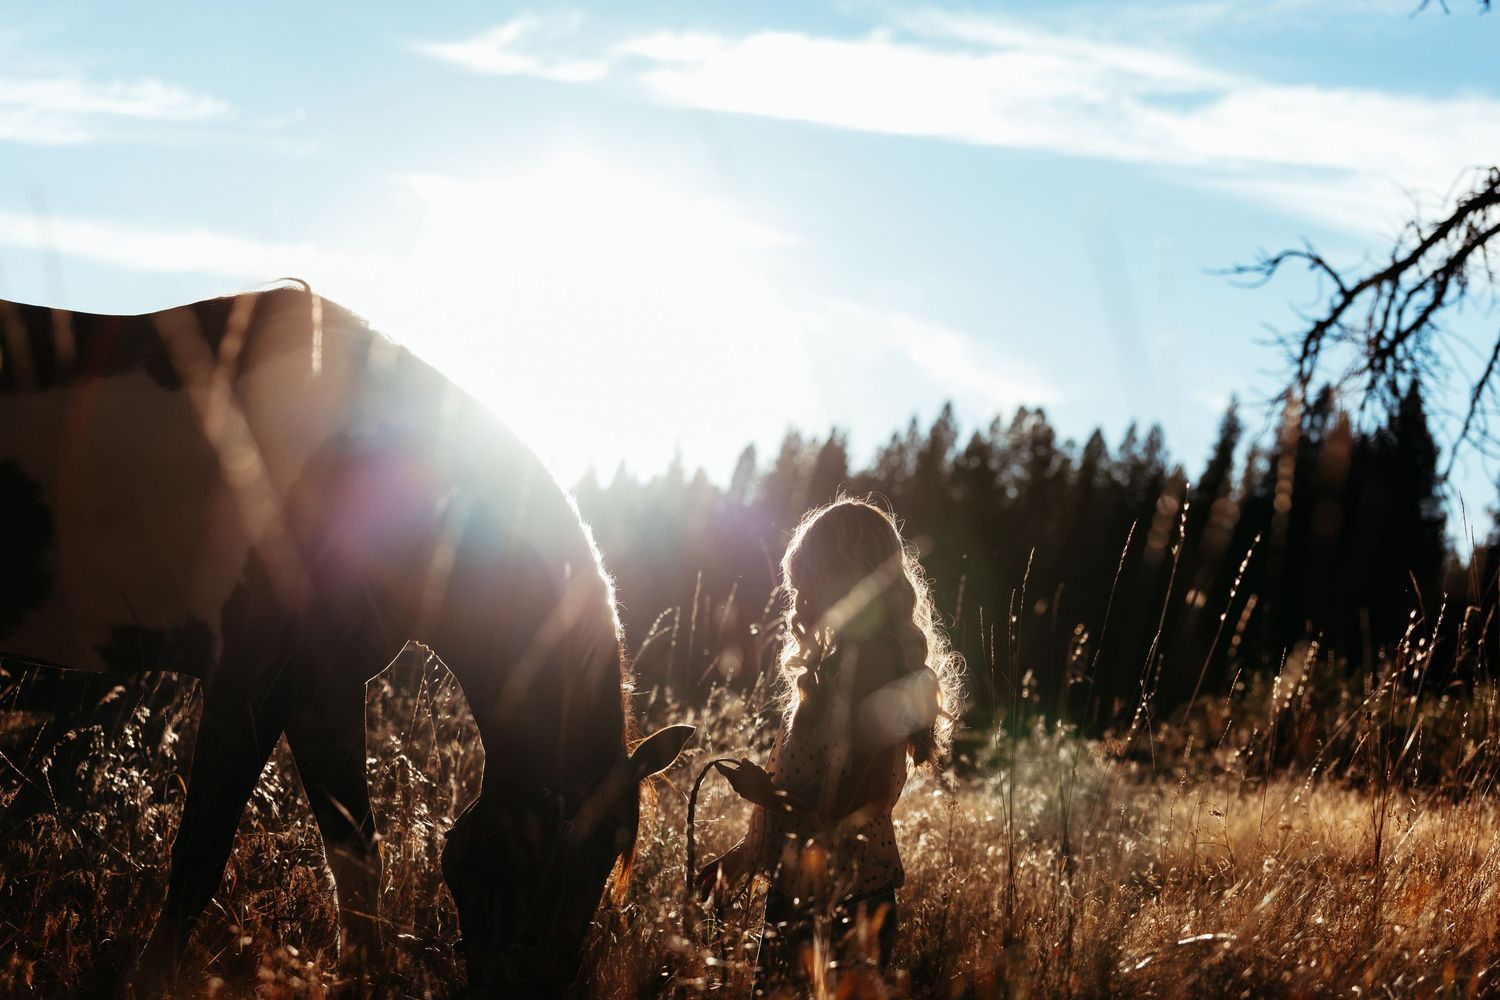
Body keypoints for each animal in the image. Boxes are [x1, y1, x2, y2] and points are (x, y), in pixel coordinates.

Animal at [0, 285, 694, 995]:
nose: (535, 989)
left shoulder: (321, 691)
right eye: (539, 860)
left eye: (606, 859)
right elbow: (200, 856)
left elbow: (357, 860)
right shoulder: (250, 680)